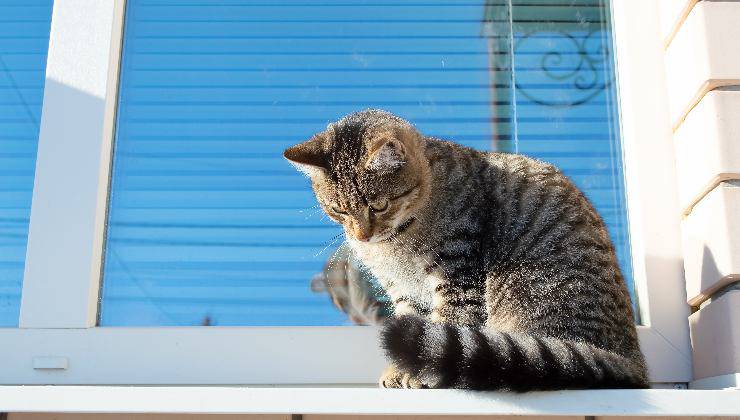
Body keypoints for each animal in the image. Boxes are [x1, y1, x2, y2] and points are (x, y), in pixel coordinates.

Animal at [284, 108, 648, 390]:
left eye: (378, 206)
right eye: (338, 210)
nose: (360, 236)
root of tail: (632, 360)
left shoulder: (458, 267)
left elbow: (448, 321)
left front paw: (417, 373)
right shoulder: (403, 290)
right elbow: (411, 323)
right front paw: (399, 370)